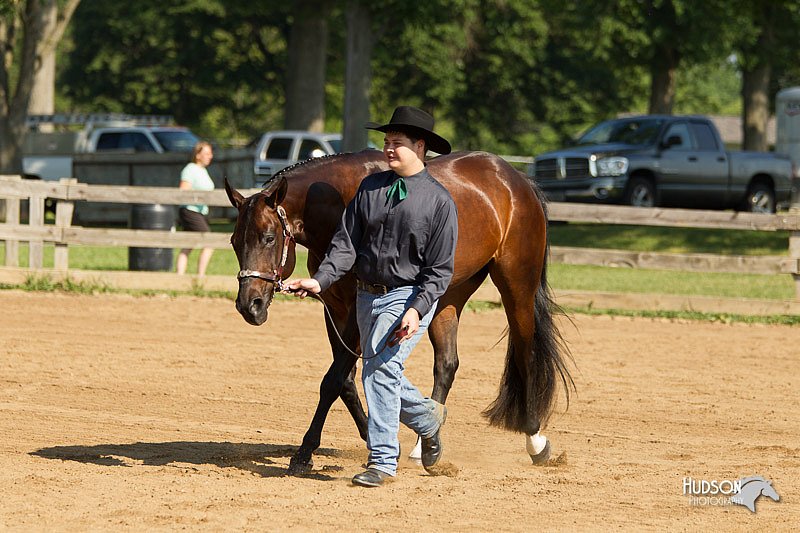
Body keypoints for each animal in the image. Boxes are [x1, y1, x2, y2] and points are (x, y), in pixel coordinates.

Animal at [225, 150, 576, 474]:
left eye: (269, 237)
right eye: (233, 241)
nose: (249, 305)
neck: (339, 205)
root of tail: (515, 180)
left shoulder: (357, 312)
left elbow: (334, 380)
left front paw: (304, 453)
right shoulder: (335, 311)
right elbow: (347, 380)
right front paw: (372, 436)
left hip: (518, 289)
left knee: (525, 356)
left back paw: (536, 441)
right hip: (447, 297)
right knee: (446, 365)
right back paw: (425, 445)